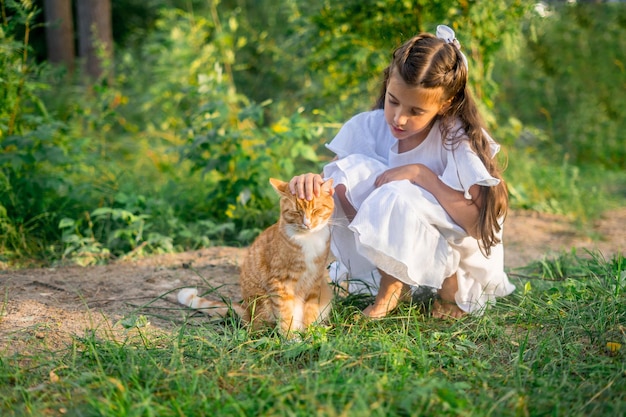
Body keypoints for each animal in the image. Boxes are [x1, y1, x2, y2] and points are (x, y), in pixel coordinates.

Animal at [178, 177, 334, 334]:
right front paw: (291, 337)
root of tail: (246, 312)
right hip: (263, 303)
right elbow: (285, 313)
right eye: (296, 212)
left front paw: (310, 334)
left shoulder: (315, 281)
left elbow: (310, 311)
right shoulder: (280, 282)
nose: (307, 224)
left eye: (316, 210)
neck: (308, 239)